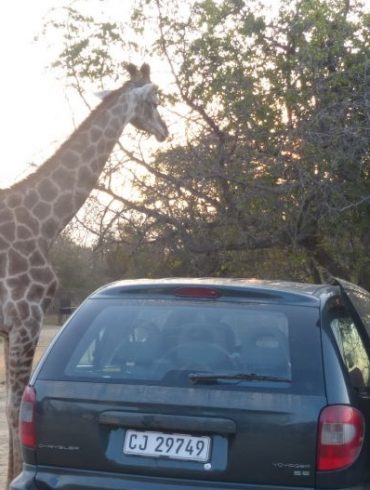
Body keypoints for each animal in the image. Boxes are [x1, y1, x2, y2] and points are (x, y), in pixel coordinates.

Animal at [0, 61, 168, 486]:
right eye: (155, 100)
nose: (164, 131)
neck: (44, 222)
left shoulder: (11, 327)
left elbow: (11, 410)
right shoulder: (27, 317)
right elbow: (16, 408)